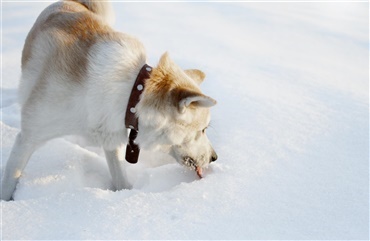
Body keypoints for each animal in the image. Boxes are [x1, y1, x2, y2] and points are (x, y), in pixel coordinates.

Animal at [0, 0, 217, 201]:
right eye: (203, 129)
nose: (215, 157)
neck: (130, 94)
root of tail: (73, 2)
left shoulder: (111, 137)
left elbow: (120, 178)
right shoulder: (27, 138)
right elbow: (10, 181)